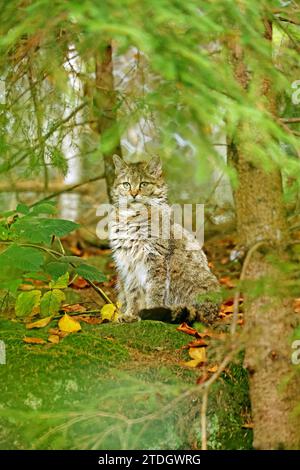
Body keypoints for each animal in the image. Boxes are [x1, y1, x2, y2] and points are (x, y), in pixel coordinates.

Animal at [109, 156, 219, 324]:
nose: (133, 194)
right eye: (126, 184)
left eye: (143, 184)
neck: (131, 217)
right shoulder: (127, 262)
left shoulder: (155, 259)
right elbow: (132, 292)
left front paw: (151, 313)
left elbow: (154, 290)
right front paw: (130, 314)